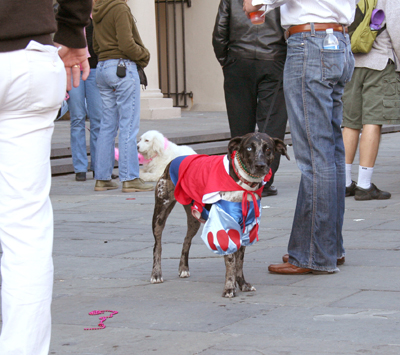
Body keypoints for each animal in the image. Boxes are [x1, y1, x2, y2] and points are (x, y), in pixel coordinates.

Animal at [149, 133, 288, 298]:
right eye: (249, 148)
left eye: (268, 149)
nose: (260, 165)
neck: (243, 184)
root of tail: (174, 160)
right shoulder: (224, 227)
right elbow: (231, 260)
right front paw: (229, 287)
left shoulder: (245, 227)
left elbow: (239, 261)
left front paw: (242, 284)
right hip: (160, 214)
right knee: (157, 245)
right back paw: (156, 274)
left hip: (194, 219)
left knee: (186, 240)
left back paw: (183, 268)